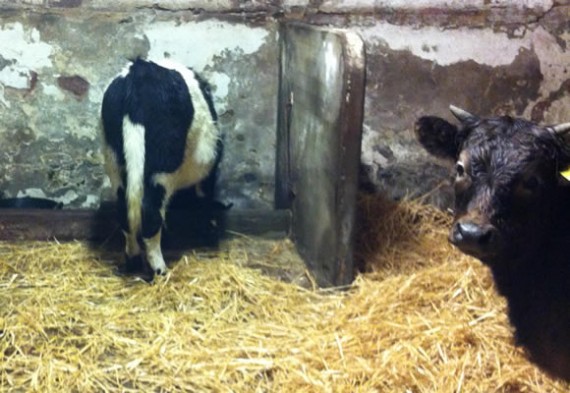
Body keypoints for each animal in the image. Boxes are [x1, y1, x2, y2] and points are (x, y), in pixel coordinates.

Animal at [100, 58, 220, 276]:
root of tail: (139, 72)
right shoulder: (207, 176)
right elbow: (205, 199)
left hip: (115, 164)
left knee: (124, 212)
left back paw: (133, 261)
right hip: (162, 168)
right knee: (150, 213)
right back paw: (160, 269)